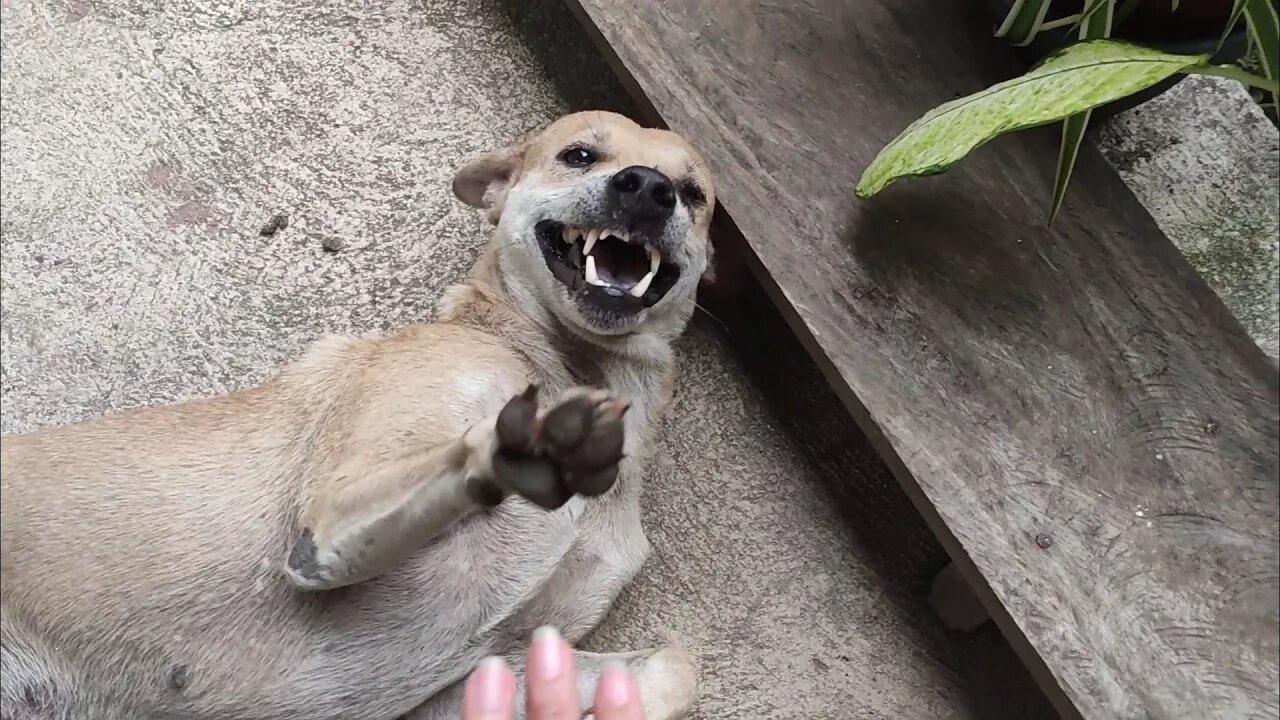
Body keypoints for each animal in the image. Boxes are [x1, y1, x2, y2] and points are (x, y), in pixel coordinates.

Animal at [0, 112, 716, 717]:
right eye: (579, 155)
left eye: (694, 194)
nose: (649, 189)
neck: (554, 356)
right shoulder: (333, 518)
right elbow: (462, 457)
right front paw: (527, 446)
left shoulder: (488, 675)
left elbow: (680, 666)